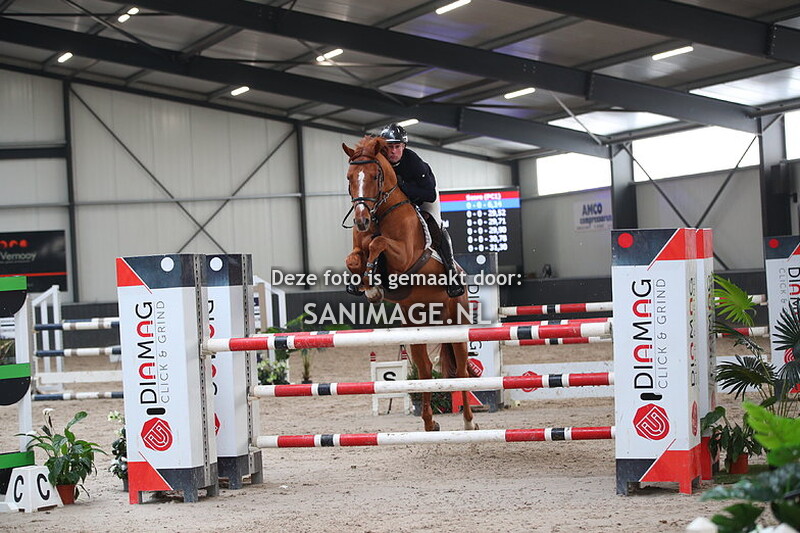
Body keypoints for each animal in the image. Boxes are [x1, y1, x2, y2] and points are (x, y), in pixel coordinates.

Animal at [342, 135, 477, 432]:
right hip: (417, 325)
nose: (360, 220)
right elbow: (355, 258)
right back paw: (429, 422)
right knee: (424, 370)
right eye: (349, 177)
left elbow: (378, 243)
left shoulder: (404, 256)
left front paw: (373, 280)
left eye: (374, 176)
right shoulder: (358, 246)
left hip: (456, 323)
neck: (380, 213)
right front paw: (367, 284)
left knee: (462, 369)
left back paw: (469, 421)